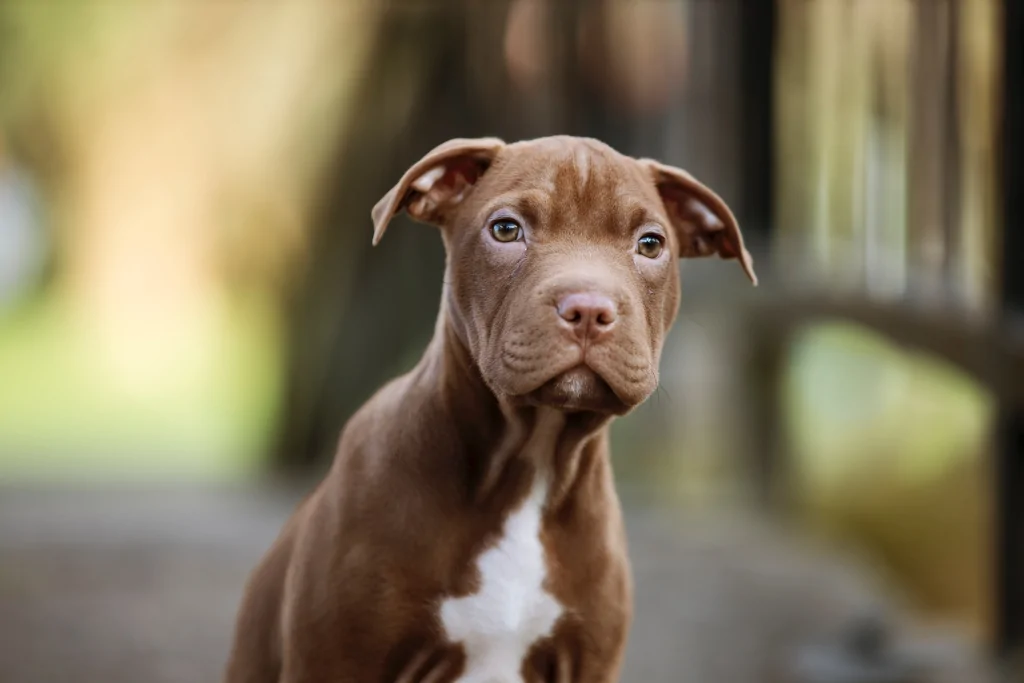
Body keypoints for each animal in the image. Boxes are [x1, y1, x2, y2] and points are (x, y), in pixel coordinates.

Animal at [222, 135, 753, 683]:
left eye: (650, 243)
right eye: (506, 230)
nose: (589, 309)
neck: (529, 466)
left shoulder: (589, 661)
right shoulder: (340, 657)